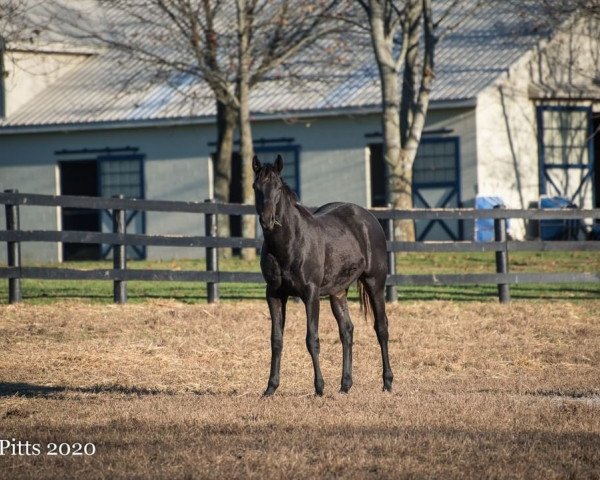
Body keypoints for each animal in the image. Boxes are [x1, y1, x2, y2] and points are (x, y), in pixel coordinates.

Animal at [253, 156, 394, 396]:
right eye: (255, 187)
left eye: (278, 187)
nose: (267, 220)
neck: (290, 243)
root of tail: (368, 217)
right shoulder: (273, 294)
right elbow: (276, 340)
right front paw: (270, 387)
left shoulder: (311, 294)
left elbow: (312, 339)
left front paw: (319, 387)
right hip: (338, 292)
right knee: (347, 330)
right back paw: (345, 385)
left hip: (375, 282)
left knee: (381, 327)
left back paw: (387, 382)